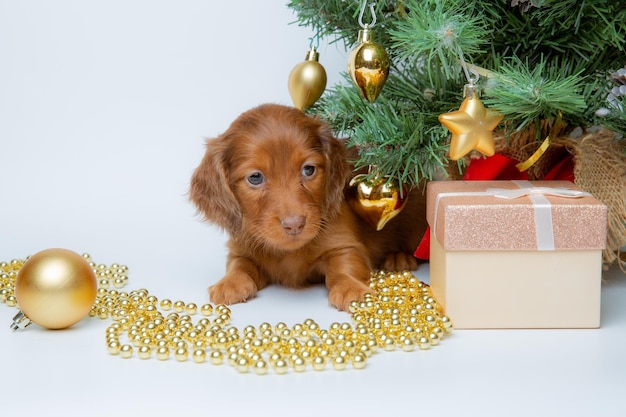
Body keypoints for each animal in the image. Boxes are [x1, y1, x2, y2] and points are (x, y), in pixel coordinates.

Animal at [190, 103, 424, 308]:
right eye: (255, 178)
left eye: (308, 169)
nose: (295, 224)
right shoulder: (240, 247)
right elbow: (238, 265)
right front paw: (230, 282)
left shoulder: (344, 244)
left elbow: (343, 267)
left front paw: (350, 287)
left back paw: (398, 257)